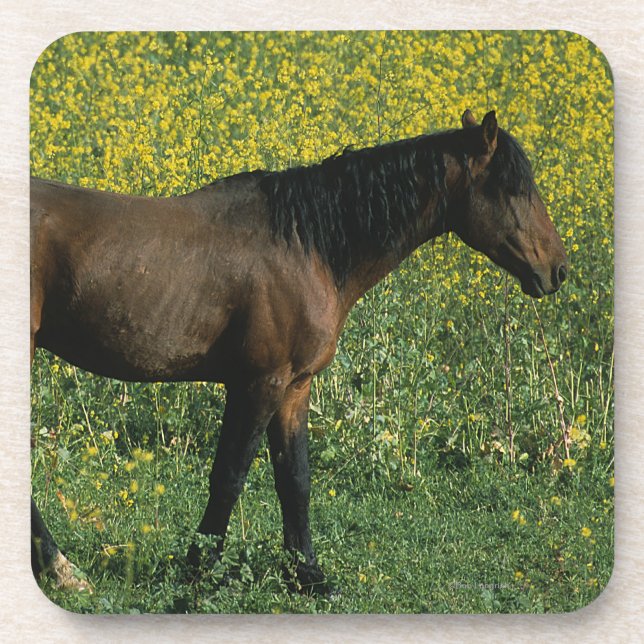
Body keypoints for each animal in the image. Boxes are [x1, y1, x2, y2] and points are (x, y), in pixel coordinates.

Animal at [30, 110, 568, 594]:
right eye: (514, 188)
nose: (558, 270)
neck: (306, 245)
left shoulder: (294, 386)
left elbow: (295, 479)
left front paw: (307, 574)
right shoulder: (259, 383)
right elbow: (229, 476)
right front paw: (199, 569)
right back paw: (62, 569)